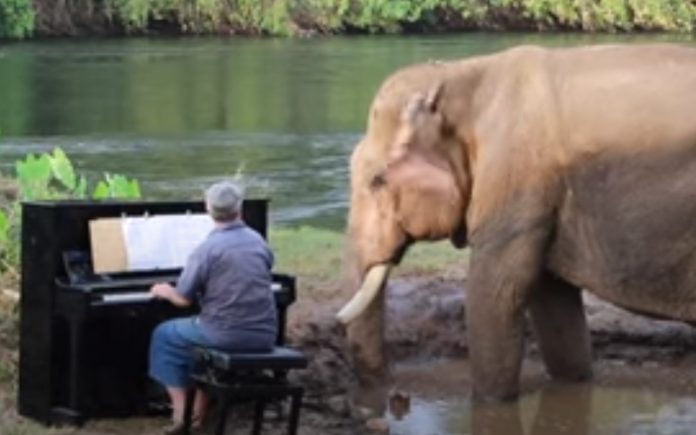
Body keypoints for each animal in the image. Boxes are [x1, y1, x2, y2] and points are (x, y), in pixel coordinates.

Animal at [336, 43, 696, 401]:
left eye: (377, 181)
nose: (395, 392)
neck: (459, 74)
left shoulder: (515, 178)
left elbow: (494, 291)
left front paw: (490, 402)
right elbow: (551, 296)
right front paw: (574, 382)